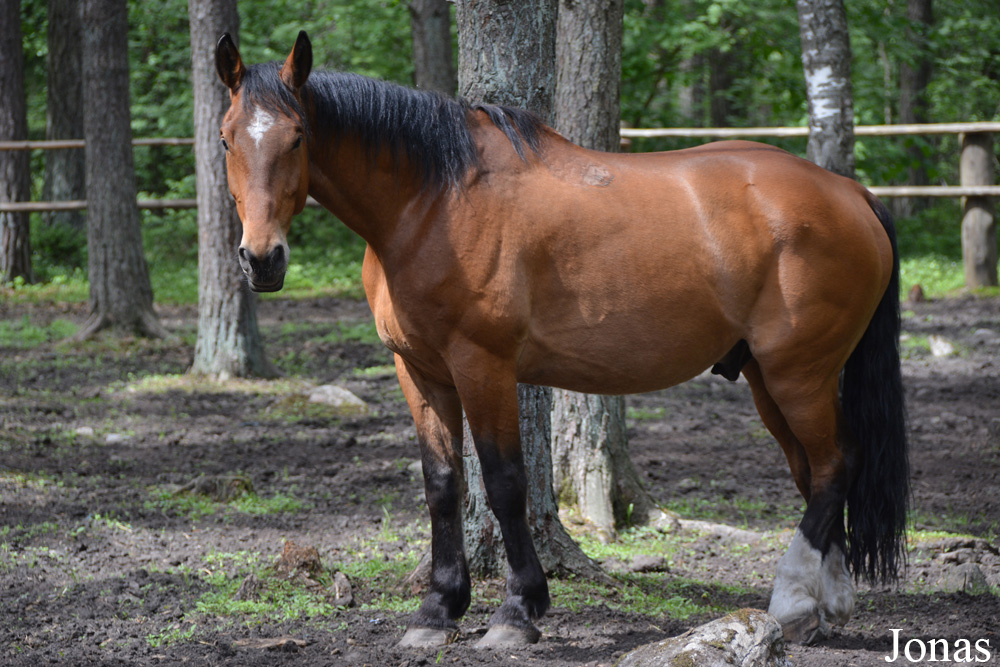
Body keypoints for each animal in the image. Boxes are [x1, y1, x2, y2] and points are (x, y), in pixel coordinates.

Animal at [215, 30, 912, 648]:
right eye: (225, 139)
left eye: (298, 136)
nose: (262, 259)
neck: (432, 202)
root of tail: (852, 193)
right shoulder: (420, 370)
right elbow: (443, 484)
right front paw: (437, 611)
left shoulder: (483, 364)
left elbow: (503, 482)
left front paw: (517, 611)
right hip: (769, 378)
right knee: (816, 472)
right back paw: (827, 605)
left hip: (799, 373)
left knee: (834, 465)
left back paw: (792, 601)